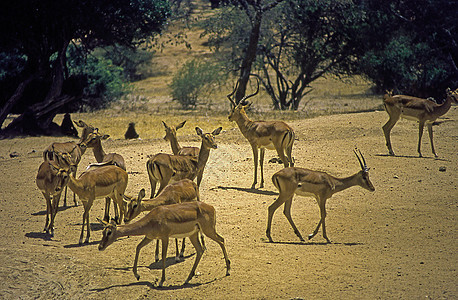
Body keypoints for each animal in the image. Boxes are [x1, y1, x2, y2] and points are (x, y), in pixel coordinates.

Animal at [98, 200, 231, 288]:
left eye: (109, 232)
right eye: (103, 232)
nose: (100, 247)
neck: (151, 220)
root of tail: (211, 207)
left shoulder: (164, 237)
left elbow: (163, 256)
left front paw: (161, 281)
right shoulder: (150, 237)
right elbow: (138, 247)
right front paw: (137, 275)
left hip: (208, 230)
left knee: (221, 240)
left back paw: (228, 270)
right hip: (193, 235)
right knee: (200, 249)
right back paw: (187, 279)